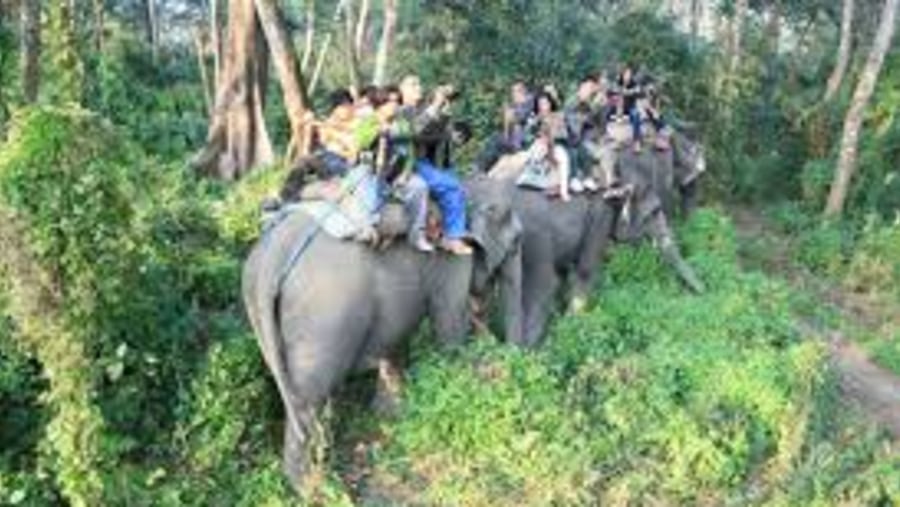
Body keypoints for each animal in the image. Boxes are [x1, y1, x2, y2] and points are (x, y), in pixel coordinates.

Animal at [239, 176, 524, 492]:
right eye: (516, 242)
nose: (508, 359)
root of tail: (271, 261)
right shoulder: (451, 262)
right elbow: (449, 326)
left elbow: (395, 337)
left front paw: (390, 415)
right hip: (322, 319)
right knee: (309, 399)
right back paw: (313, 488)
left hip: (261, 314)